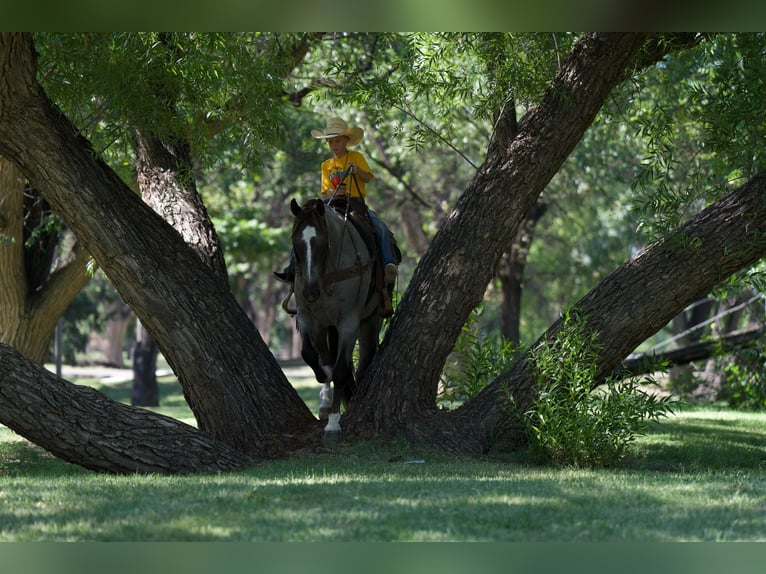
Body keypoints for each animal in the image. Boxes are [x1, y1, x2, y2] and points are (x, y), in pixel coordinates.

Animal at [289, 197, 383, 439]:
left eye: (322, 243)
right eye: (296, 243)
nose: (310, 292)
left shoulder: (349, 322)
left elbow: (341, 370)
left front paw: (333, 423)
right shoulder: (307, 316)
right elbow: (308, 354)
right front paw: (324, 376)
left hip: (370, 321)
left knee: (364, 360)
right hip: (323, 326)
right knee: (324, 354)